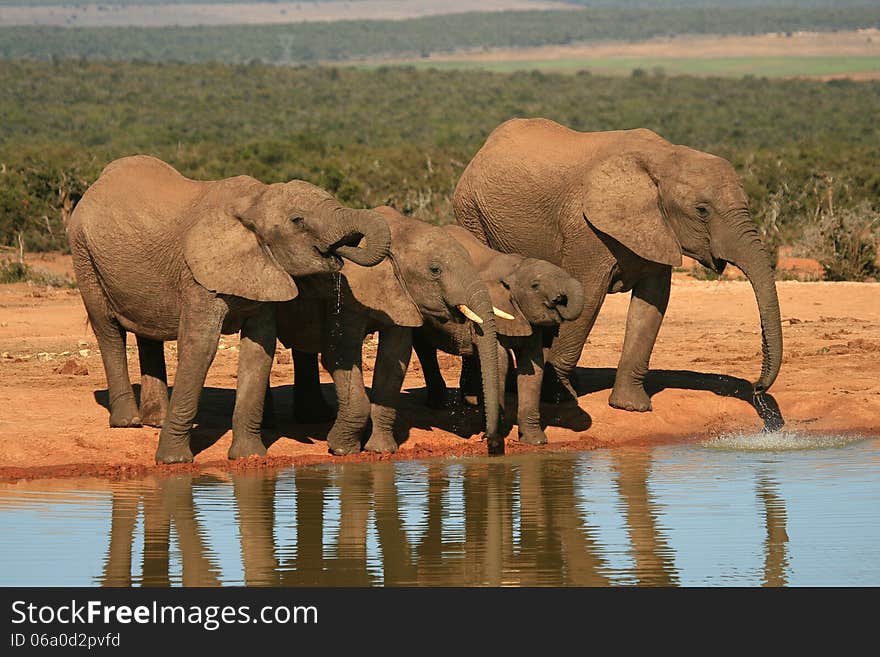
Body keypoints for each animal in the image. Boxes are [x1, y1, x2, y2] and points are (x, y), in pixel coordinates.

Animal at [65, 154, 388, 464]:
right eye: (298, 220)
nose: (343, 249)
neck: (255, 201)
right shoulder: (198, 275)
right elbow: (200, 347)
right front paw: (173, 461)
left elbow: (259, 350)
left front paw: (249, 457)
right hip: (83, 253)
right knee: (108, 329)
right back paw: (127, 422)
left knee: (148, 332)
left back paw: (155, 420)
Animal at [278, 208, 506, 454]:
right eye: (435, 270)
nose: (488, 441)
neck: (399, 230)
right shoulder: (347, 295)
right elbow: (340, 356)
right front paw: (342, 450)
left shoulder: (403, 297)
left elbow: (393, 360)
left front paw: (381, 450)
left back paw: (314, 417)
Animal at [454, 118, 784, 410]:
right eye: (702, 211)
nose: (757, 388)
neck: (665, 157)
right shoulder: (587, 228)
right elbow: (586, 298)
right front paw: (559, 398)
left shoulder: (657, 229)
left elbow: (651, 305)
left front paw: (631, 406)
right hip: (471, 214)